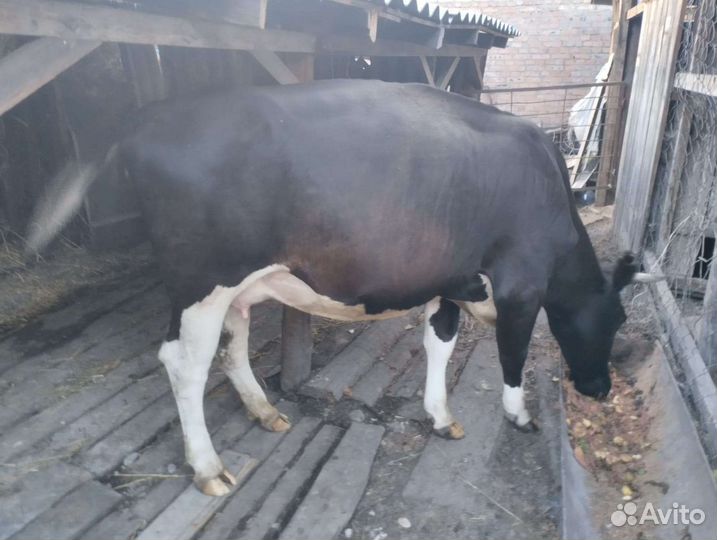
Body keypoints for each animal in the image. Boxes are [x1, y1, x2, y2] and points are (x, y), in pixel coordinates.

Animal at [28, 79, 656, 496]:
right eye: (616, 319)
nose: (599, 389)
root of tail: (150, 115)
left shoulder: (451, 281)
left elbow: (440, 344)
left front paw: (440, 416)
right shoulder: (519, 284)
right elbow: (514, 354)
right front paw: (520, 417)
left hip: (234, 289)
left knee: (232, 348)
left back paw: (264, 411)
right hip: (201, 281)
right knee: (184, 363)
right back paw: (208, 467)